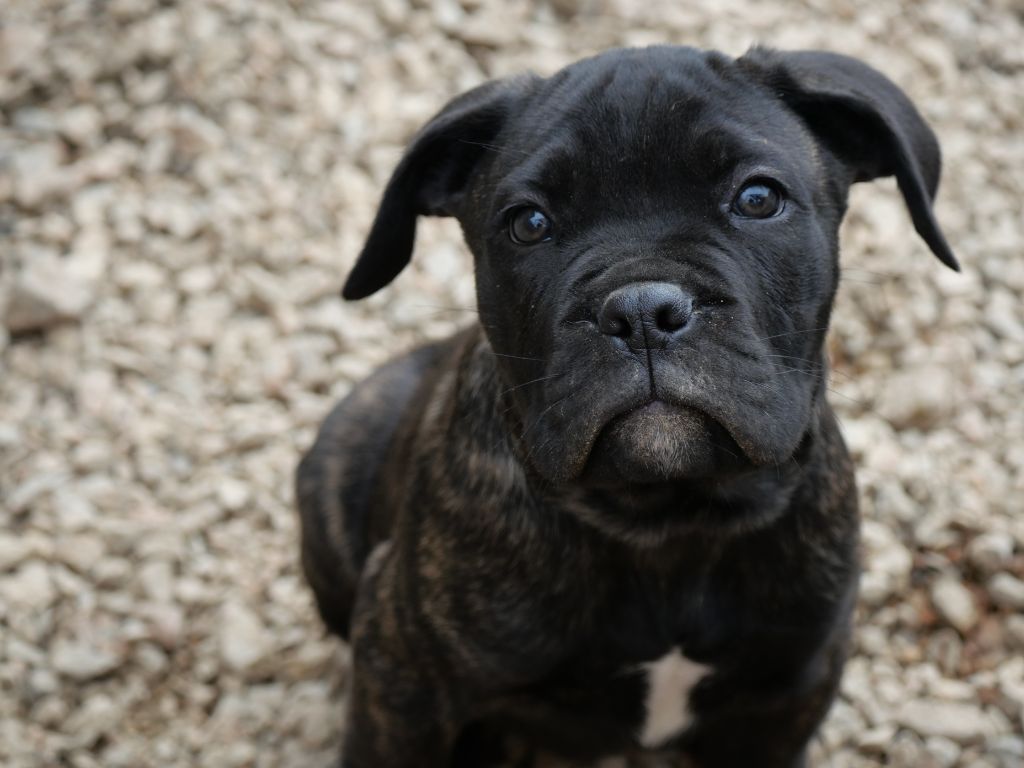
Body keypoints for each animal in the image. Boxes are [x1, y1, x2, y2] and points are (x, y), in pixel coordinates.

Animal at [296, 46, 958, 768]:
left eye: (758, 199)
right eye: (528, 224)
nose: (642, 309)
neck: (670, 518)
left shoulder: (789, 692)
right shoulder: (403, 675)